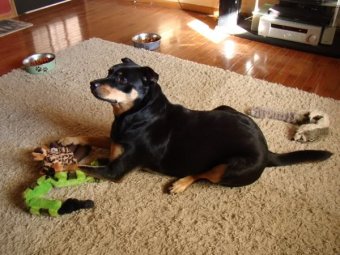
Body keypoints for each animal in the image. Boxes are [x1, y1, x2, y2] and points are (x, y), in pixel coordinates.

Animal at [58, 57, 332, 193]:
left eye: (123, 79)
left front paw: (58, 167)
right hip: (223, 107)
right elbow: (95, 136)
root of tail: (266, 149)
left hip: (232, 167)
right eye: (109, 71)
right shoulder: (114, 139)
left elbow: (81, 165)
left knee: (205, 174)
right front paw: (68, 139)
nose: (92, 83)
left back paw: (180, 183)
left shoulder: (115, 171)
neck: (134, 113)